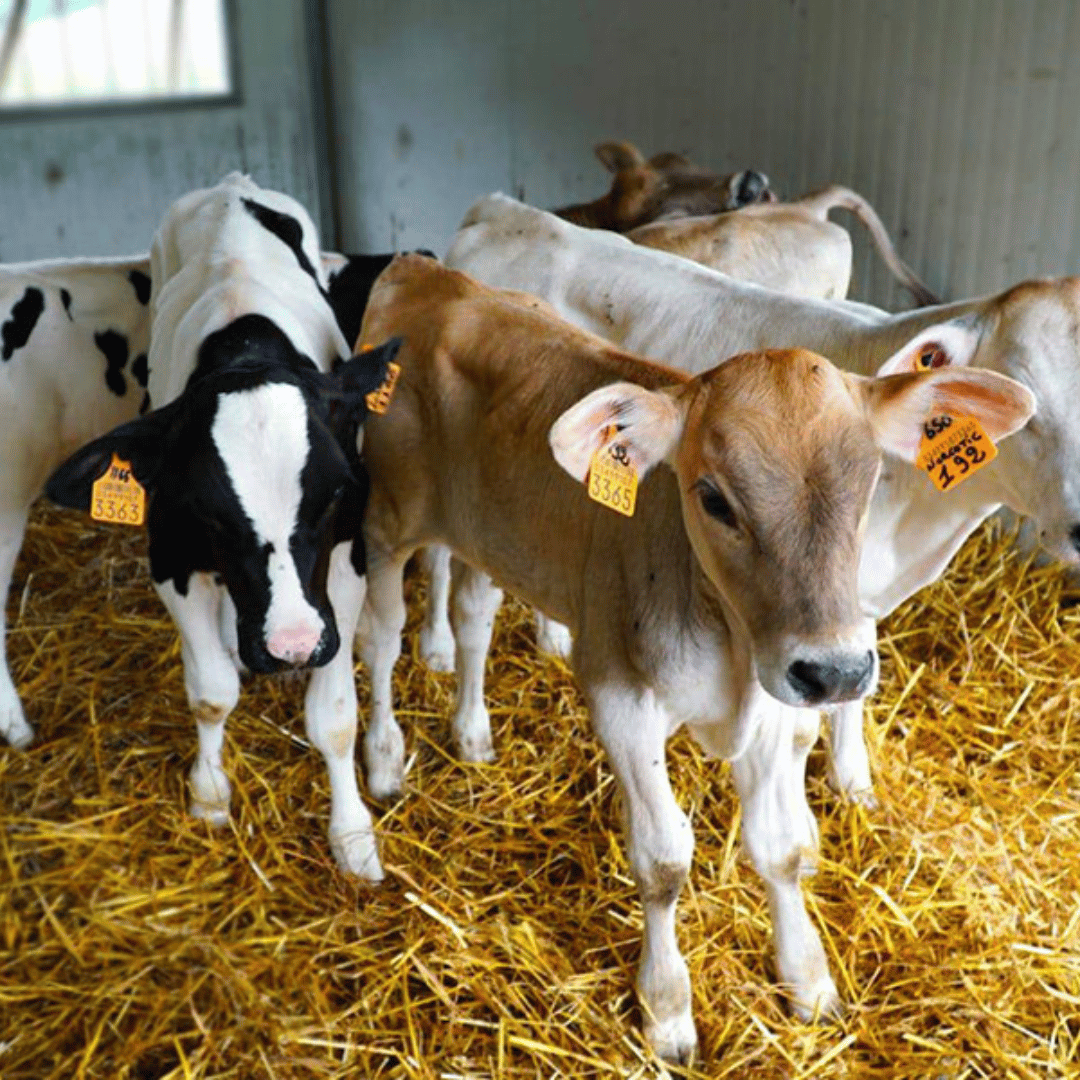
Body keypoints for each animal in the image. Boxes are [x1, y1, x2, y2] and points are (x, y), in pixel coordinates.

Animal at [45, 174, 397, 876]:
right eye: (209, 513)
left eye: (331, 496)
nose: (291, 645)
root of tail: (235, 184)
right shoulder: (171, 556)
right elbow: (210, 691)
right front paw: (208, 794)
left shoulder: (345, 561)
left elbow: (334, 716)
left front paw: (352, 836)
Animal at [352, 254, 1028, 1062]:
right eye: (712, 497)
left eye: (868, 484)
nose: (835, 672)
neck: (729, 642)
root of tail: (428, 274)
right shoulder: (620, 696)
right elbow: (665, 860)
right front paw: (669, 1012)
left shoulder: (775, 701)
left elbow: (778, 848)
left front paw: (808, 979)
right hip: (387, 519)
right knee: (382, 636)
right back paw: (385, 763)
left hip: (489, 534)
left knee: (474, 616)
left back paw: (475, 735)